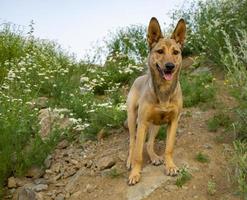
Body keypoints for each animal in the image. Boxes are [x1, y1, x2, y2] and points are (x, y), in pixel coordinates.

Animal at [126, 17, 186, 186]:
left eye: (176, 52)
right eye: (160, 51)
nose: (170, 66)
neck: (164, 91)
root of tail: (139, 77)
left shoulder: (173, 121)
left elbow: (169, 148)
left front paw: (170, 166)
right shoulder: (142, 123)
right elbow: (138, 154)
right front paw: (135, 174)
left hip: (156, 124)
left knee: (149, 143)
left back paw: (154, 157)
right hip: (133, 119)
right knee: (133, 143)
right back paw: (130, 161)